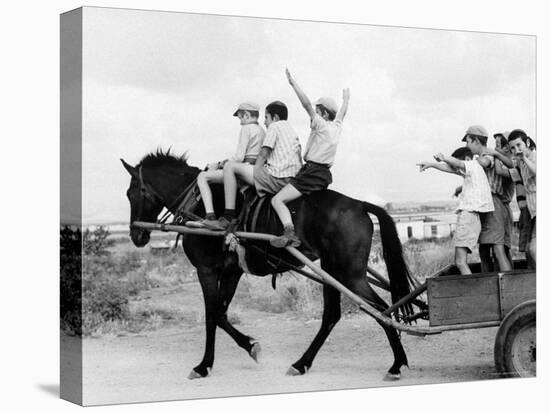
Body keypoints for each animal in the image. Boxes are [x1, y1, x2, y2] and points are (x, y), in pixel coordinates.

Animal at [123, 150, 416, 380]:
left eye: (131, 192)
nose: (136, 236)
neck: (199, 204)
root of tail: (359, 205)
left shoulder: (206, 271)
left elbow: (211, 316)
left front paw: (204, 365)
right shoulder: (231, 272)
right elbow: (221, 314)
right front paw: (251, 346)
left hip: (349, 274)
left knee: (381, 309)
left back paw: (397, 364)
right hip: (333, 270)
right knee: (335, 315)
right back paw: (303, 363)